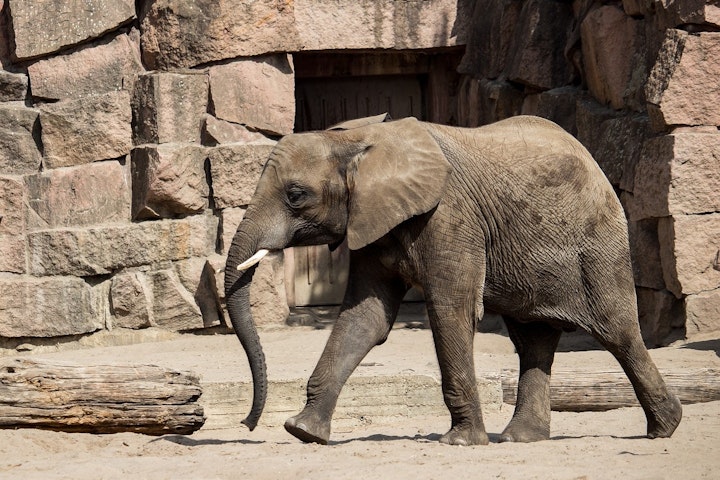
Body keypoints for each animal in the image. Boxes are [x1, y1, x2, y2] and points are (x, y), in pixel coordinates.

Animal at [224, 114, 680, 444]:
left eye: (295, 195)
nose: (247, 425)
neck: (358, 139)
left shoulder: (449, 217)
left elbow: (450, 311)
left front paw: (460, 442)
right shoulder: (371, 221)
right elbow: (365, 318)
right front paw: (303, 432)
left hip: (599, 244)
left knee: (617, 332)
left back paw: (665, 428)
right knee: (532, 339)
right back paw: (520, 439)